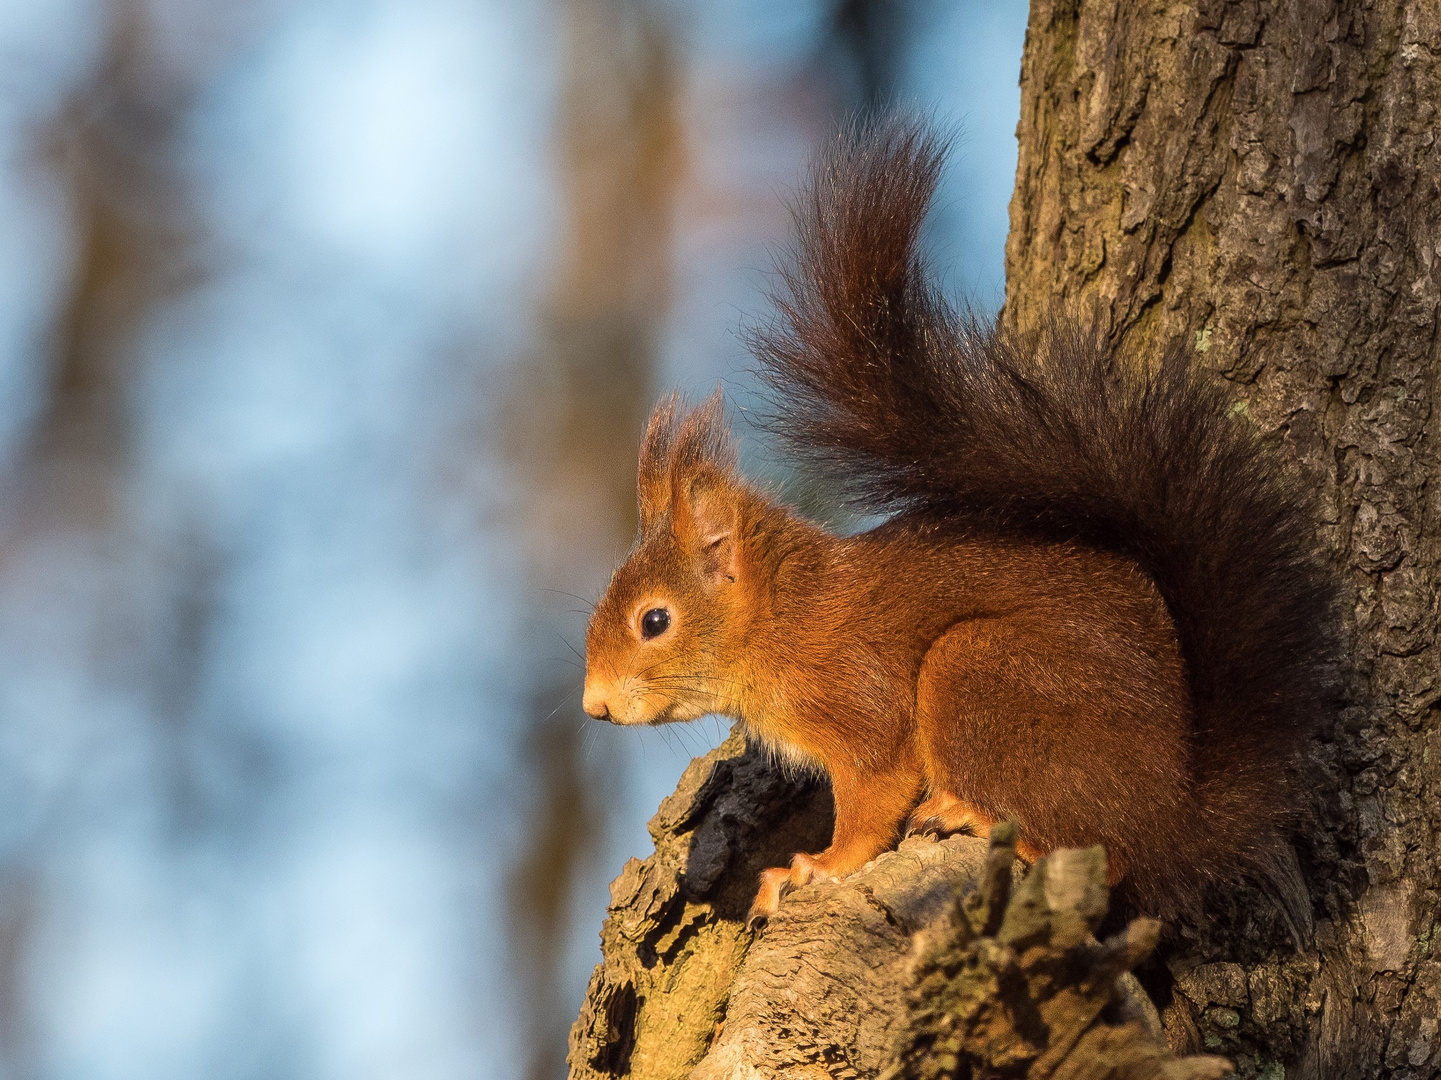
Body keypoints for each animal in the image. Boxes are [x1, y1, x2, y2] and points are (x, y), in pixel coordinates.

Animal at [579, 118, 1343, 928]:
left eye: (653, 621)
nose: (594, 706)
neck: (785, 616)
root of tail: (1176, 816)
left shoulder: (865, 707)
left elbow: (873, 798)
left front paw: (817, 867)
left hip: (976, 672)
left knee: (1106, 857)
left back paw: (977, 815)